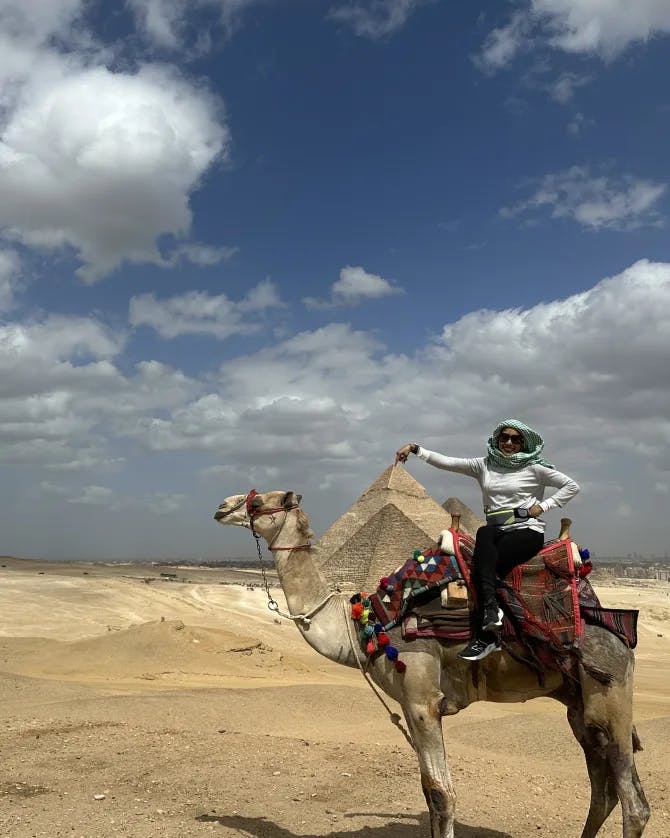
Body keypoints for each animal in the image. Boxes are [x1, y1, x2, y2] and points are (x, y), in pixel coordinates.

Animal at [214, 488, 652, 838]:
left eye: (258, 502)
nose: (221, 507)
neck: (365, 623)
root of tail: (620, 631)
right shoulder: (409, 706)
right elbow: (428, 792)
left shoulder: (423, 700)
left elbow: (443, 794)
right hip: (579, 706)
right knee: (604, 792)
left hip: (609, 692)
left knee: (634, 804)